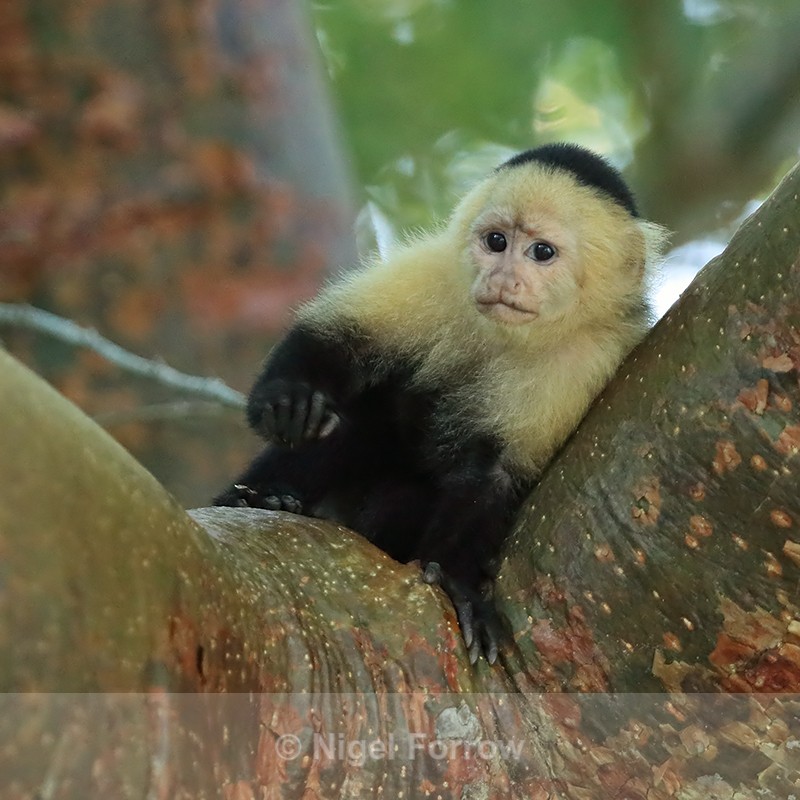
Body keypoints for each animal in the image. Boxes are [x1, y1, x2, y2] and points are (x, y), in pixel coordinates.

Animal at [215, 143, 666, 664]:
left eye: (542, 252)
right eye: (496, 241)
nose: (502, 278)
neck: (509, 338)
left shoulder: (586, 360)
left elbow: (493, 472)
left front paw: (457, 581)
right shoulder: (437, 274)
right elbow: (337, 337)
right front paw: (288, 398)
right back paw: (265, 496)